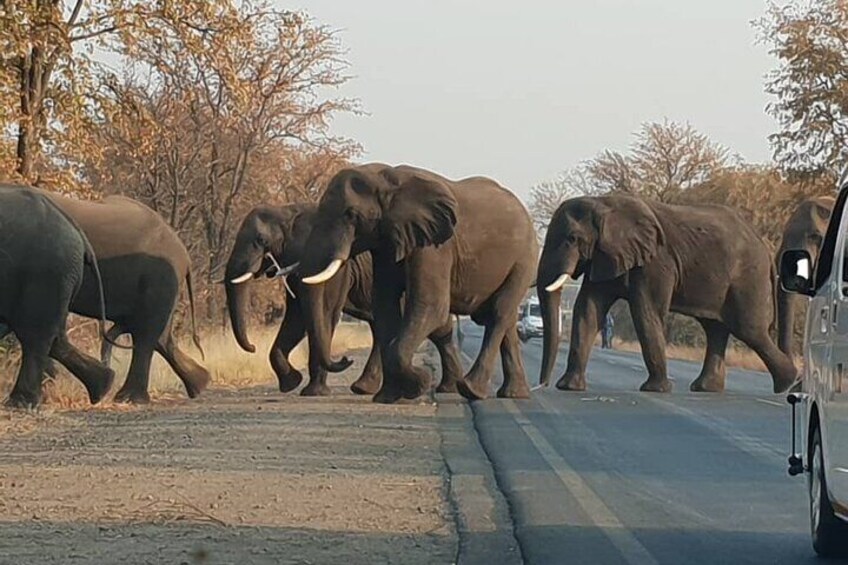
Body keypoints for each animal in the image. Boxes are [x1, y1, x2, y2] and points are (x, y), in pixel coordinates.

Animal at [0, 183, 116, 408]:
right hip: (59, 278)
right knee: (54, 338)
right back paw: (103, 387)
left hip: (46, 273)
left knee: (35, 335)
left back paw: (19, 402)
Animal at [45, 193, 210, 400]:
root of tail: (186, 257)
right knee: (157, 335)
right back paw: (200, 385)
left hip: (157, 280)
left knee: (146, 334)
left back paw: (129, 397)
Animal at [222, 204, 460, 396]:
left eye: (261, 240)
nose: (253, 347)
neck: (288, 211)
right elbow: (297, 318)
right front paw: (292, 383)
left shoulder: (337, 268)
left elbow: (323, 313)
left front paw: (313, 393)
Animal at [540, 193, 800, 392]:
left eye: (572, 239)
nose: (541, 385)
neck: (603, 203)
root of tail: (765, 247)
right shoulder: (605, 256)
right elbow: (587, 310)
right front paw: (568, 387)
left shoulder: (656, 262)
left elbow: (645, 312)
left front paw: (655, 389)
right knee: (716, 328)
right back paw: (706, 388)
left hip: (748, 277)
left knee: (748, 329)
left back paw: (788, 385)